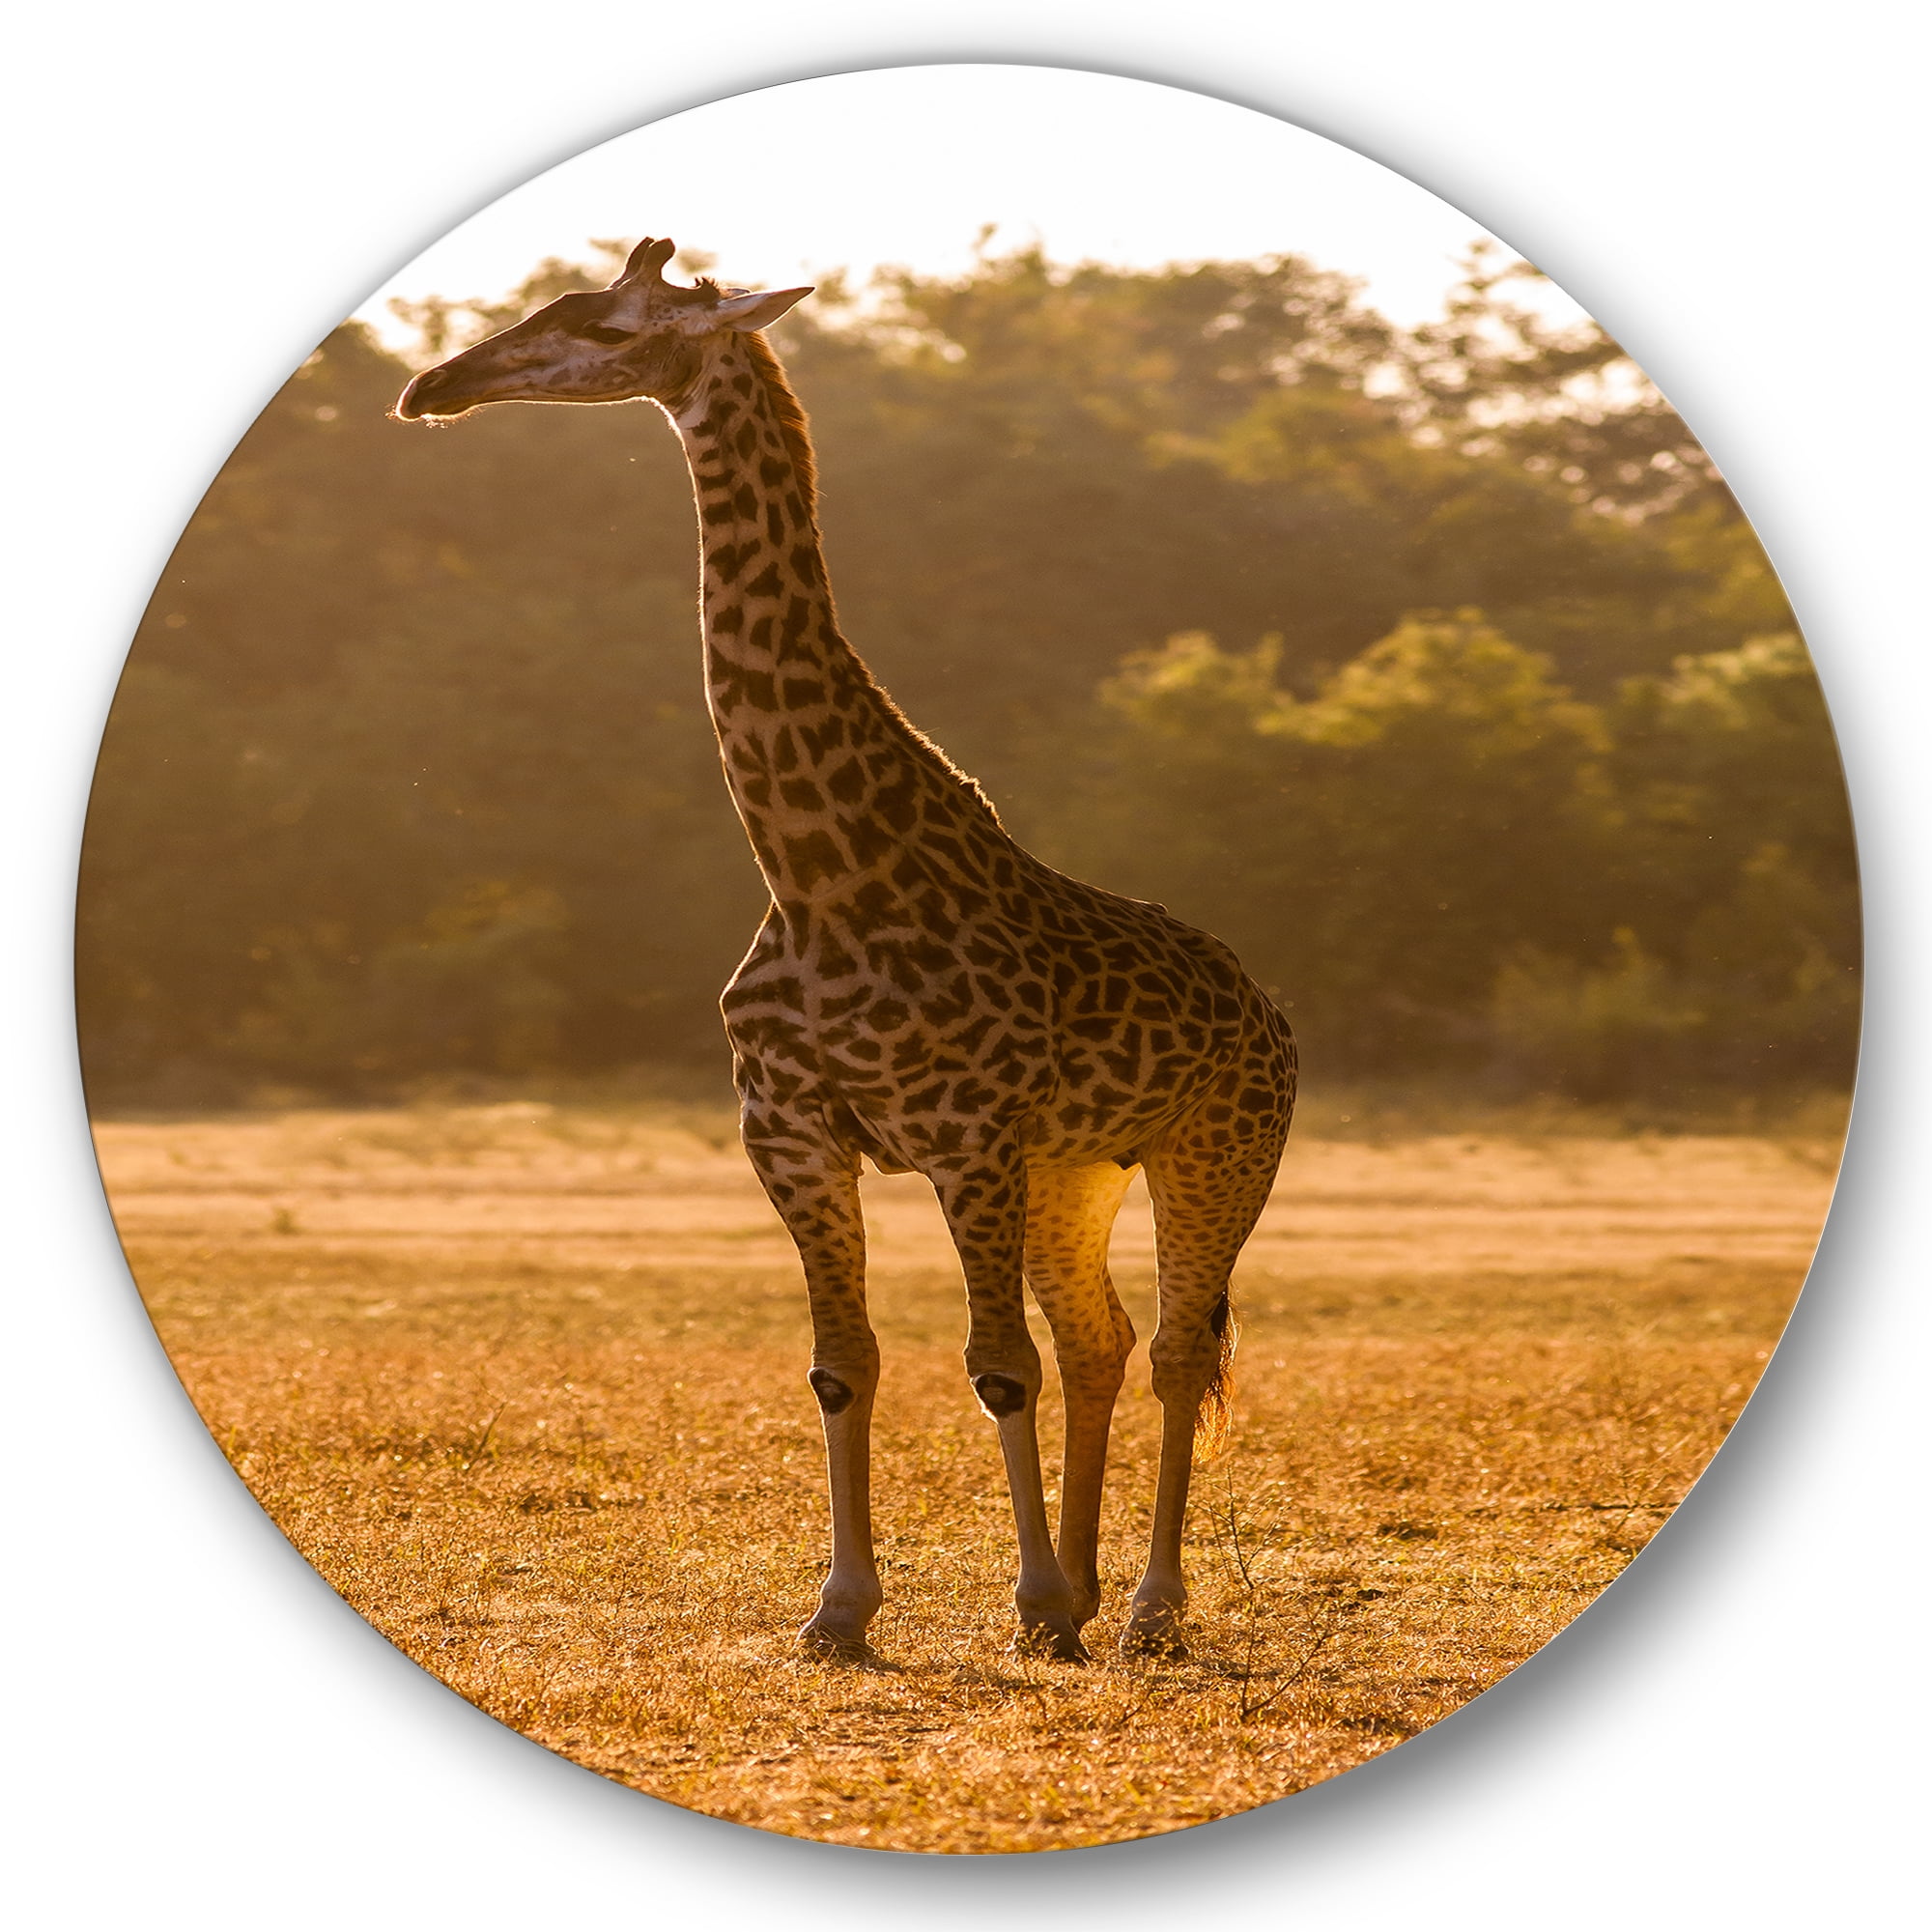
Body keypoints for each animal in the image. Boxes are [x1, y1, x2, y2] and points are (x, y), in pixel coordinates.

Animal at [396, 238, 1296, 1661]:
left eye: (607, 325)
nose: (433, 384)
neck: (817, 870)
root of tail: (1270, 1011)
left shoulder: (965, 1137)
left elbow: (993, 1368)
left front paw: (1024, 1598)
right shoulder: (793, 1133)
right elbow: (845, 1362)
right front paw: (847, 1610)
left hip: (1215, 1150)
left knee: (1173, 1351)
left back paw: (1144, 1609)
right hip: (1077, 1170)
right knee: (1098, 1340)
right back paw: (1088, 1591)